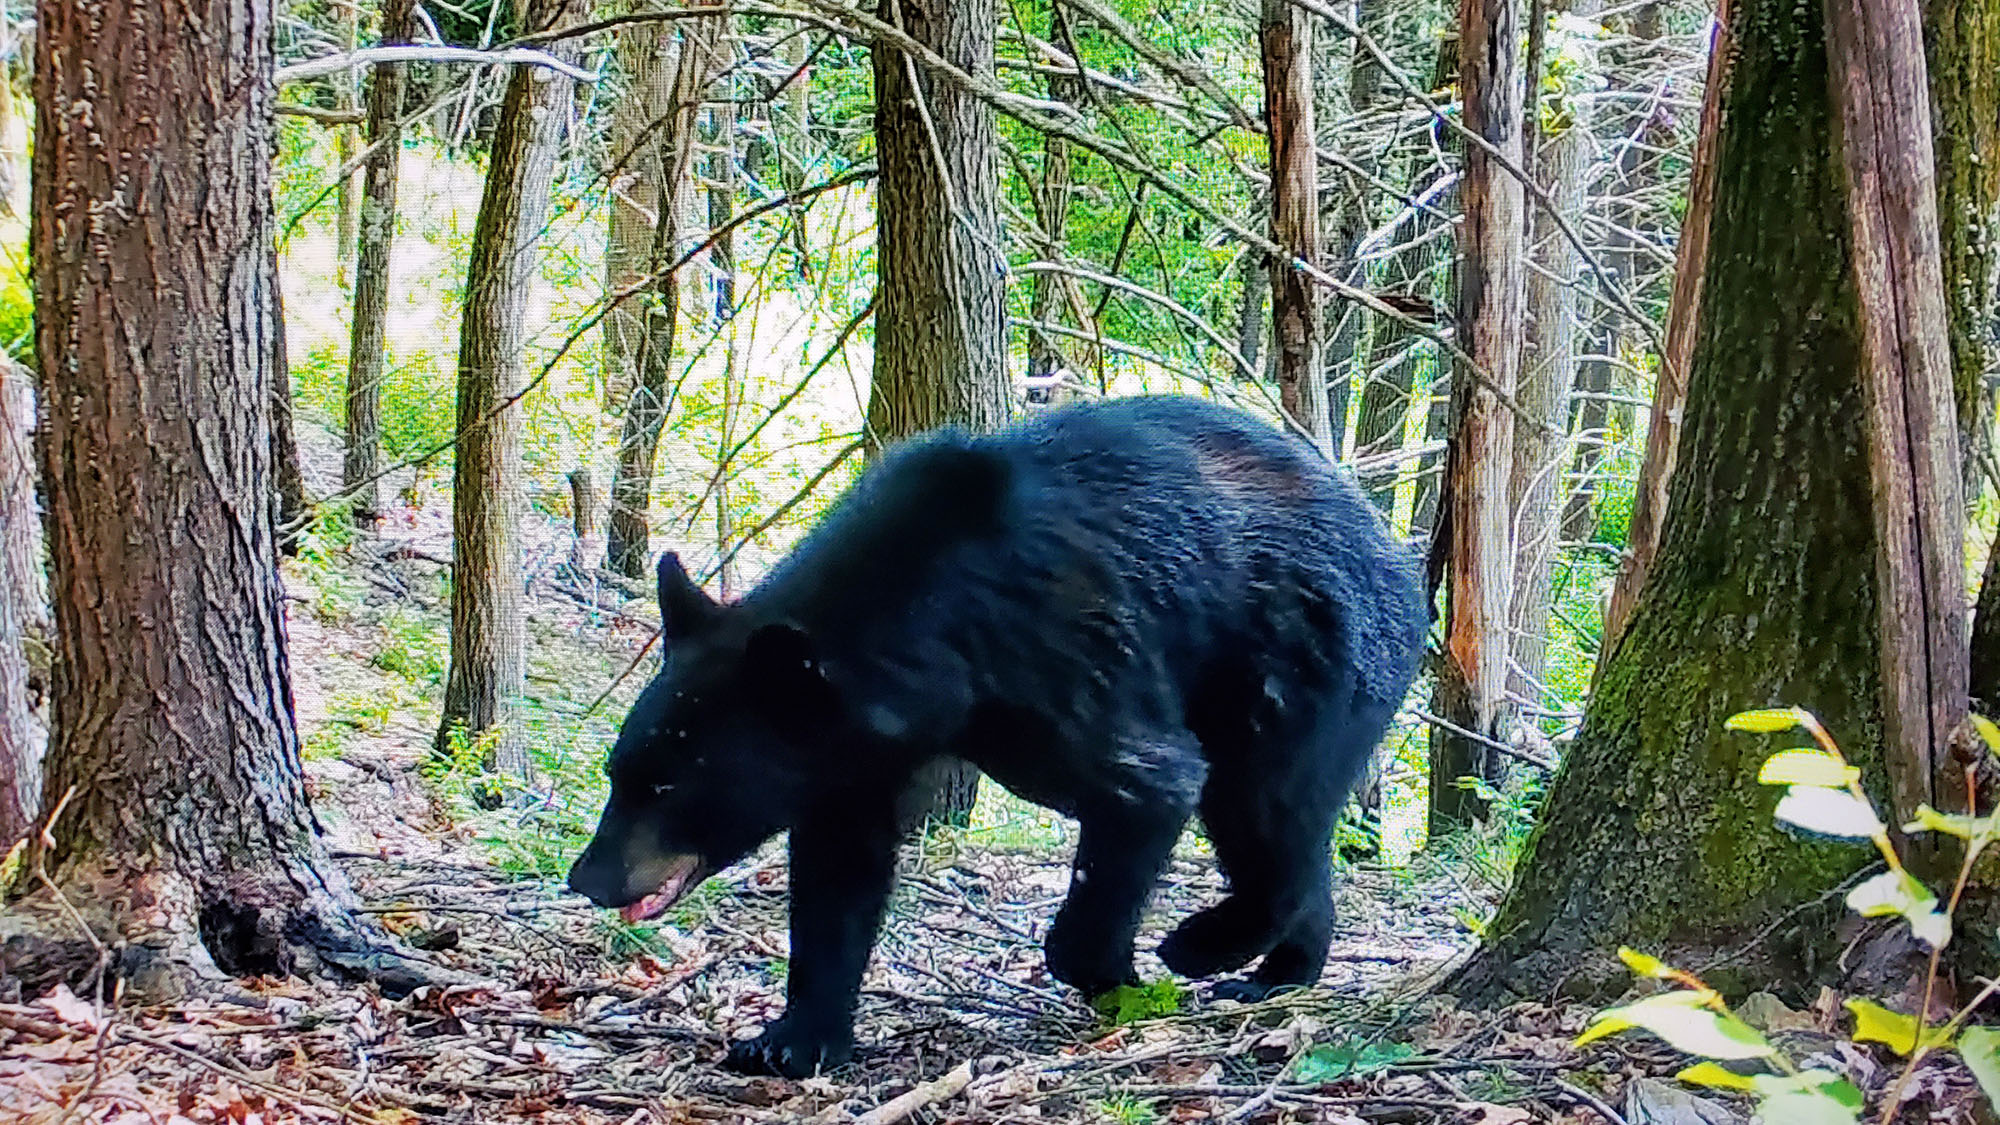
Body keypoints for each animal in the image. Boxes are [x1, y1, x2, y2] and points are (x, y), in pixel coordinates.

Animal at [566, 394, 1428, 1078]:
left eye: (668, 783)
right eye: (617, 770)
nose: (587, 877)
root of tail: (1403, 559)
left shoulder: (1066, 662)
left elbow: (1148, 781)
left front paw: (1118, 971)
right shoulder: (854, 751)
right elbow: (839, 875)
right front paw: (792, 1036)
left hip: (1308, 664)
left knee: (1267, 810)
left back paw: (1210, 945)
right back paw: (1280, 971)